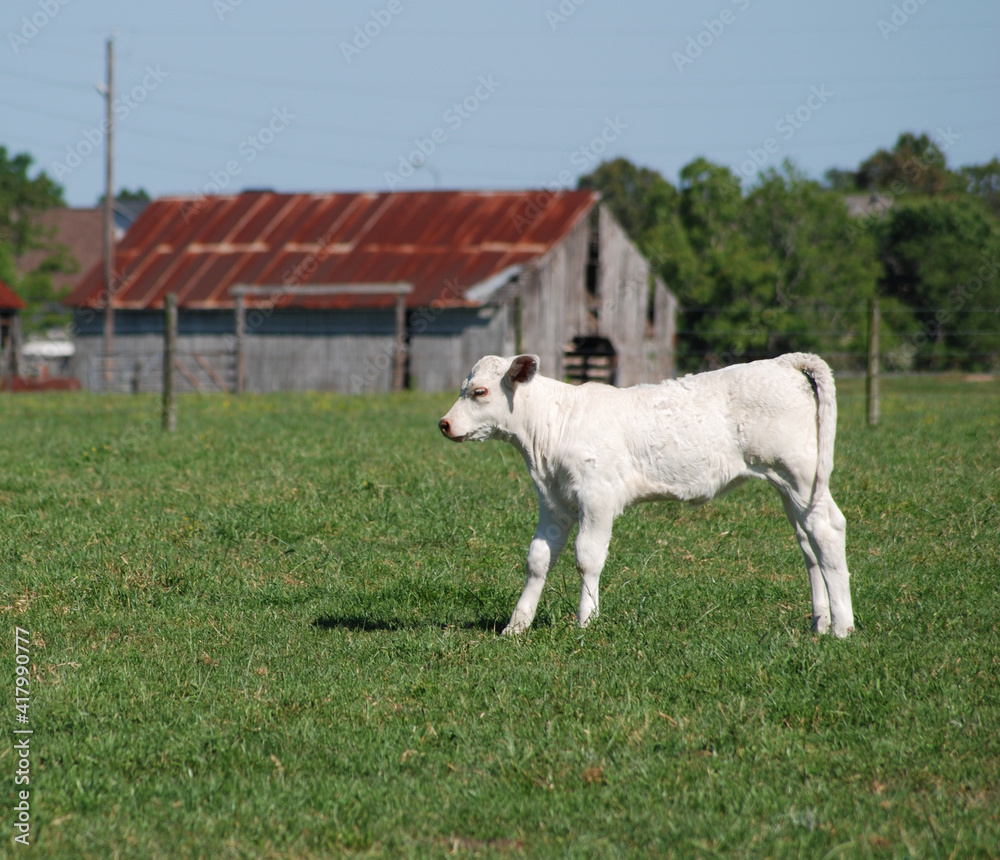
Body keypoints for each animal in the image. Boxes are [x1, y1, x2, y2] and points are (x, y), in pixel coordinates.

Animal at [438, 353, 855, 638]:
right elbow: (538, 558)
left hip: (802, 473)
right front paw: (517, 625)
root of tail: (783, 361)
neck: (550, 431)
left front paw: (586, 620)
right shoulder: (553, 502)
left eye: (479, 391)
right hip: (788, 485)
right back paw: (820, 622)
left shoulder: (597, 496)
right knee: (808, 542)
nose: (443, 423)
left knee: (828, 529)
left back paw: (842, 627)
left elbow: (587, 558)